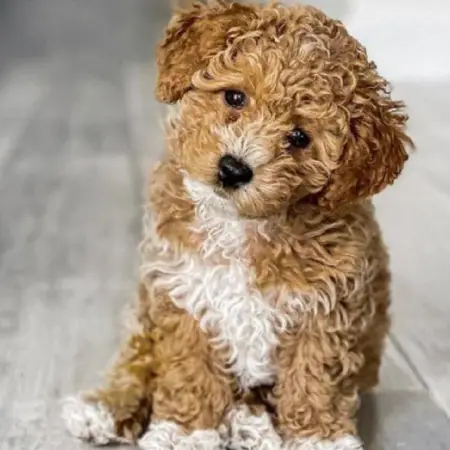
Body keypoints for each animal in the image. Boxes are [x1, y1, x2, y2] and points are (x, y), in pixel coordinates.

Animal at [62, 0, 412, 450]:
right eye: (234, 96)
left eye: (300, 137)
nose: (233, 169)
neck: (241, 225)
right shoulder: (182, 288)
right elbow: (187, 367)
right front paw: (184, 430)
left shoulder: (329, 307)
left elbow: (316, 376)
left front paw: (319, 437)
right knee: (137, 355)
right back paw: (106, 404)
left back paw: (251, 424)